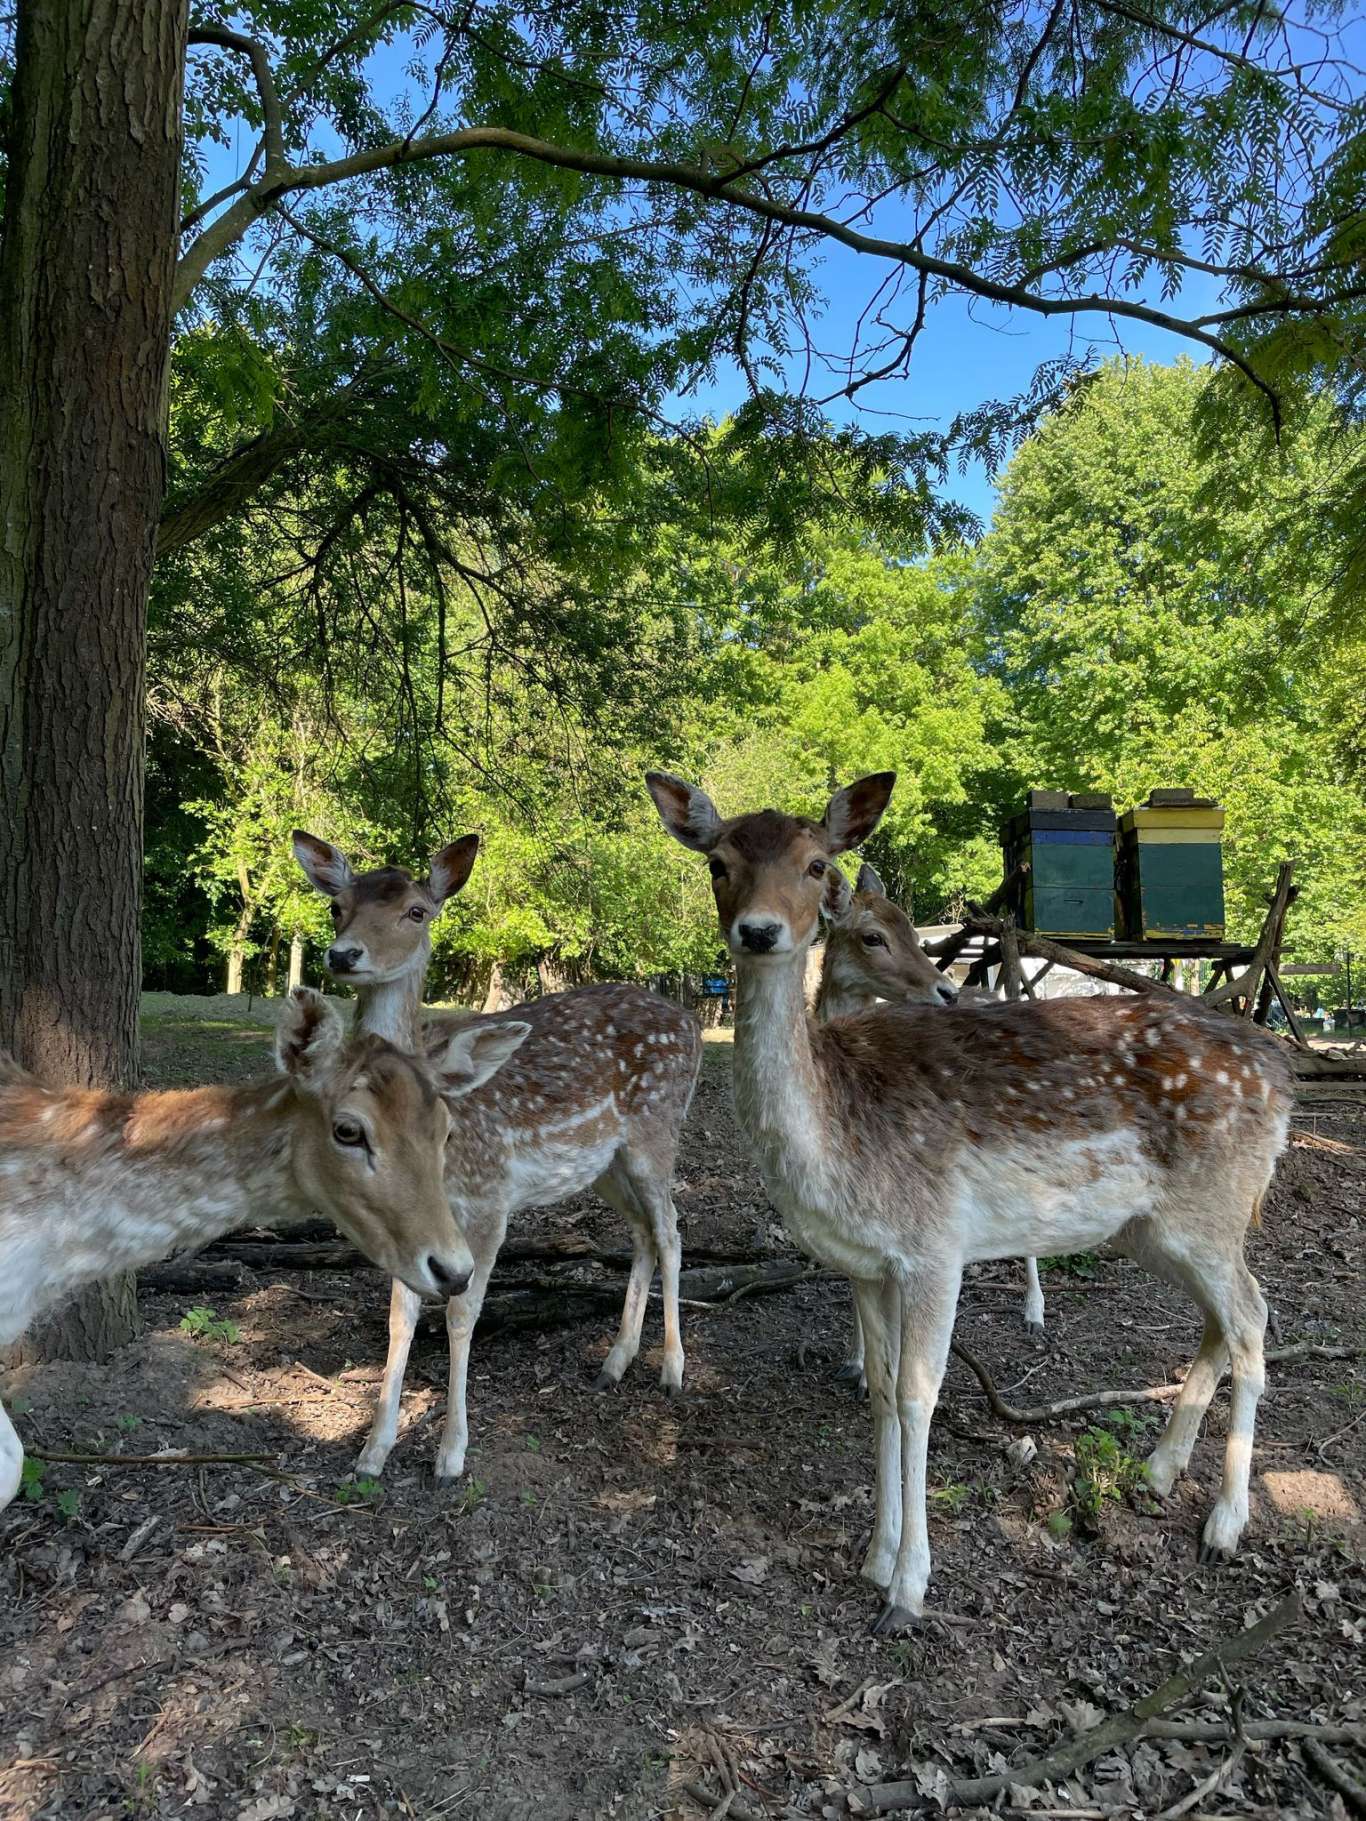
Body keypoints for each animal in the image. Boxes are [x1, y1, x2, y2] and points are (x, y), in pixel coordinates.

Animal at [292, 831, 702, 1483]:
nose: (343, 955)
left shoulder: (488, 1201)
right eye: (337, 906)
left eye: (416, 911)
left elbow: (462, 1314)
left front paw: (451, 1455)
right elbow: (400, 1315)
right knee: (641, 1231)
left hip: (655, 1132)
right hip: (604, 1165)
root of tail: (692, 1021)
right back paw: (614, 1362)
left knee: (671, 1229)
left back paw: (672, 1370)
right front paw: (373, 1451)